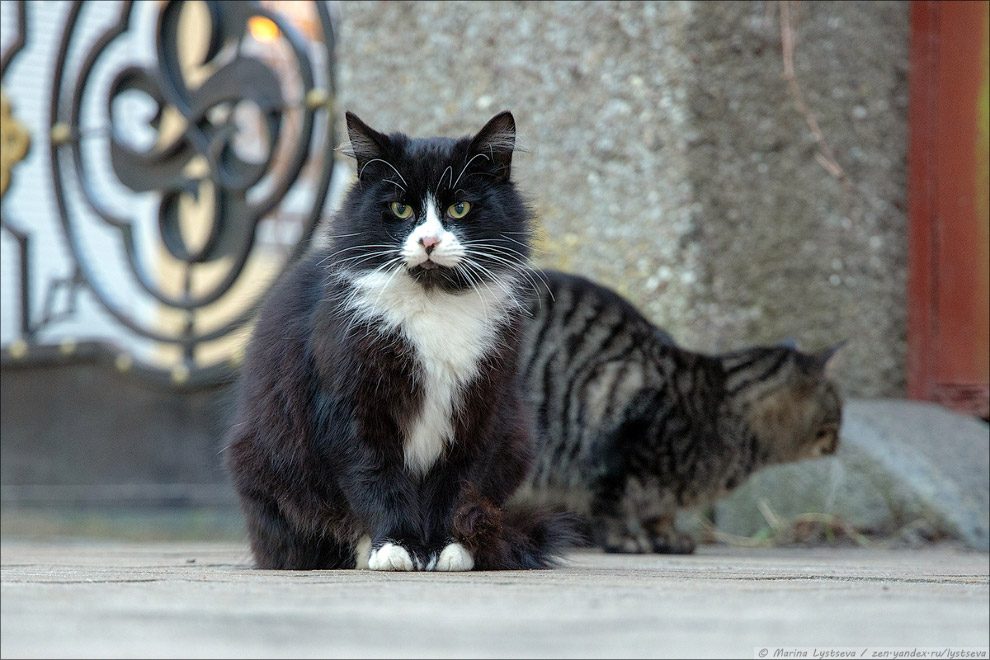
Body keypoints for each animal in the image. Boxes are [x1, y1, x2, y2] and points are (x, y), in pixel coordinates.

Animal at [226, 111, 576, 568]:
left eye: (459, 208)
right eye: (400, 207)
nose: (428, 240)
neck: (432, 299)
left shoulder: (481, 407)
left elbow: (458, 484)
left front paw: (448, 548)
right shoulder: (351, 404)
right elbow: (376, 477)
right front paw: (396, 546)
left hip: (518, 436)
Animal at [520, 268, 844, 552]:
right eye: (838, 413)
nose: (838, 444)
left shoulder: (659, 491)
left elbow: (661, 513)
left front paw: (668, 537)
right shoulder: (609, 449)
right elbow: (611, 506)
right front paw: (624, 539)